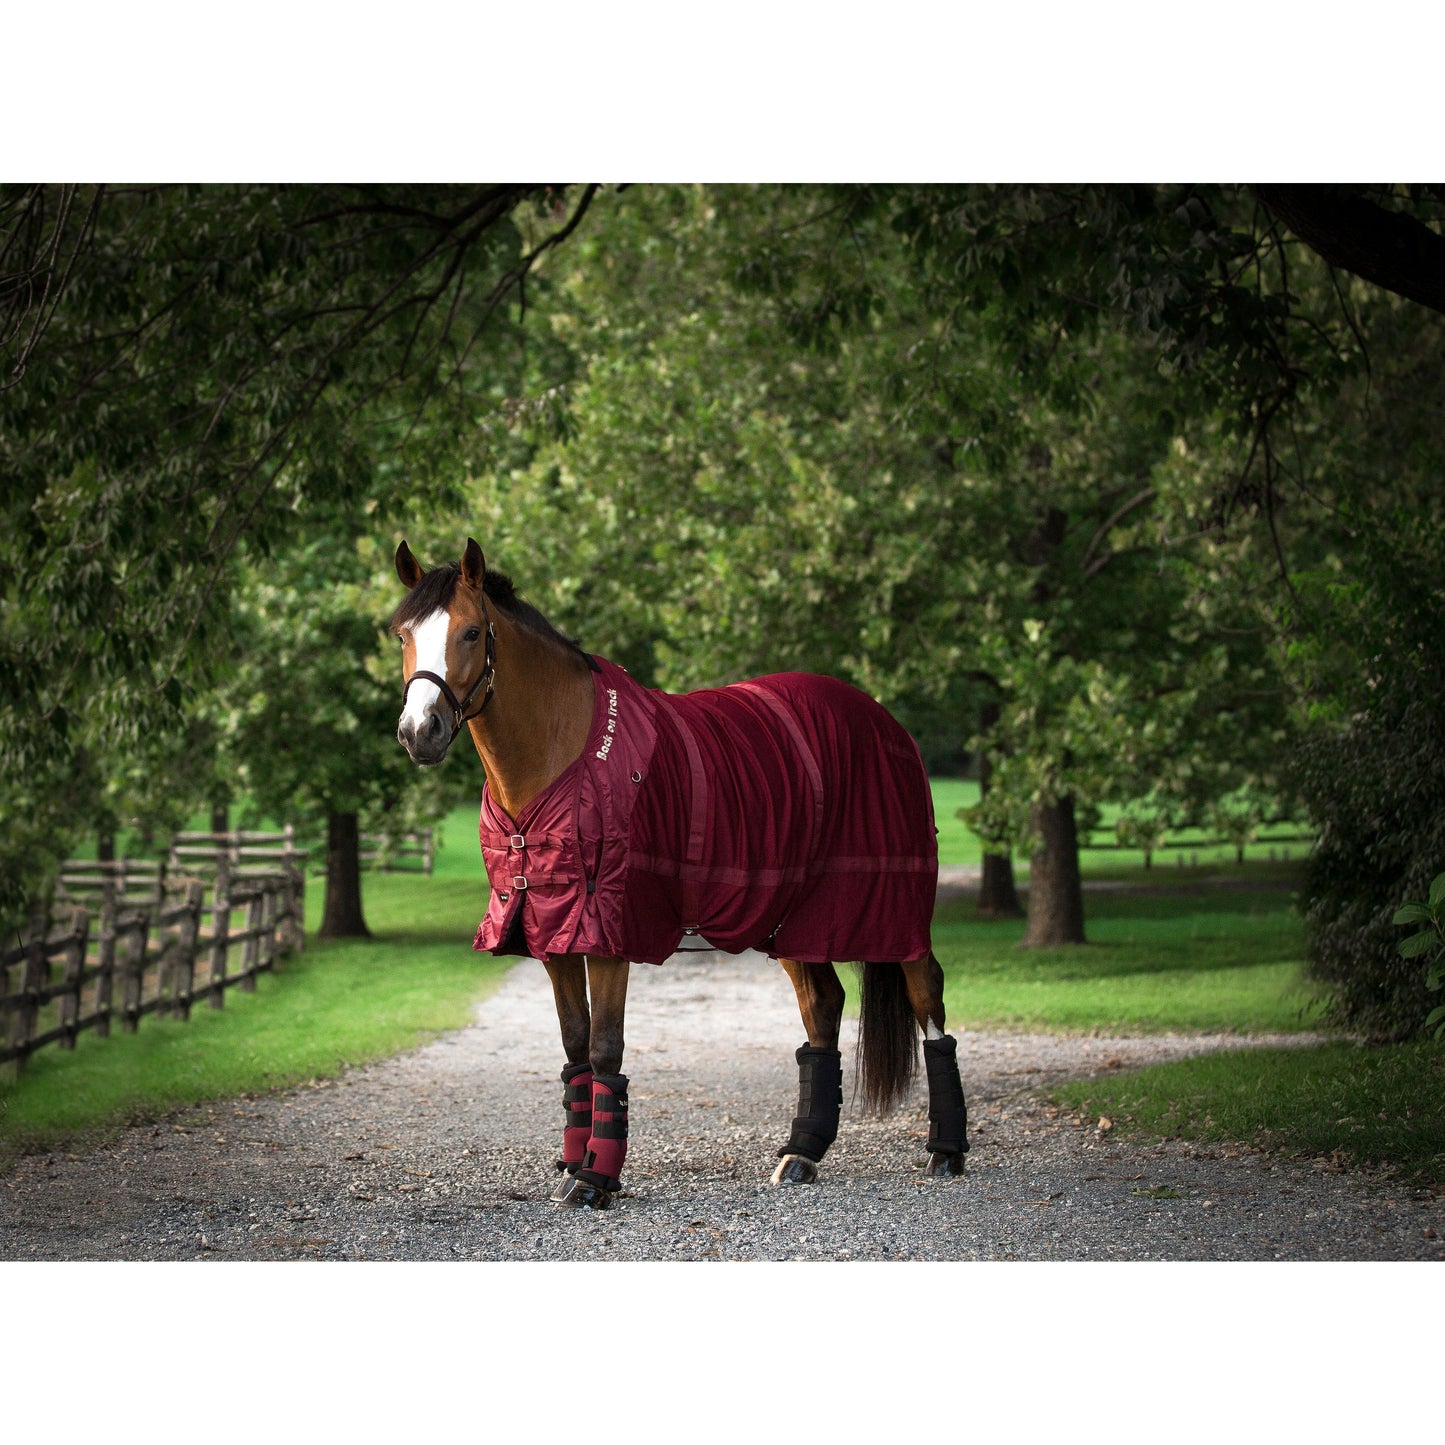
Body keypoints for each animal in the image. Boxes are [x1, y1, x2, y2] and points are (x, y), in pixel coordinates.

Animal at [391, 537, 969, 1209]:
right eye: (402, 634)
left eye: (472, 632)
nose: (419, 732)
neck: (560, 755)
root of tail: (884, 721)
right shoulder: (548, 926)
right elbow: (575, 1046)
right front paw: (576, 1162)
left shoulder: (610, 928)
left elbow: (605, 1048)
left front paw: (596, 1178)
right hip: (793, 919)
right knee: (823, 1008)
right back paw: (801, 1153)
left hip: (893, 907)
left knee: (927, 995)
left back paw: (947, 1152)